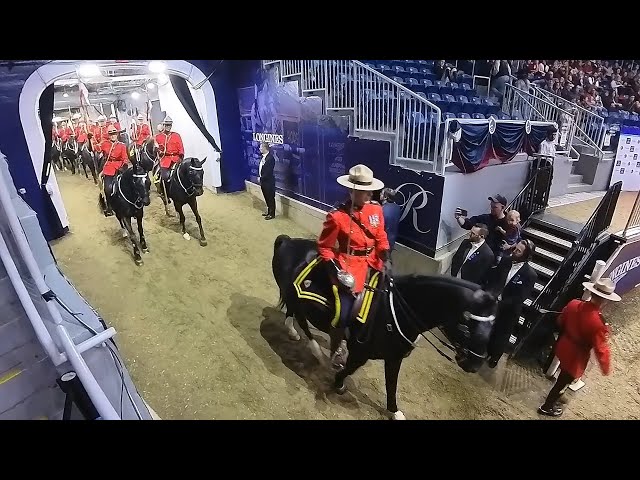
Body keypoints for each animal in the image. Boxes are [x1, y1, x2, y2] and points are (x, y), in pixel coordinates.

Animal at [272, 235, 498, 420]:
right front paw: (338, 383)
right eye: (466, 327)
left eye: (491, 327)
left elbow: (391, 384)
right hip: (295, 297)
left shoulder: (394, 357)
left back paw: (294, 332)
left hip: (294, 298)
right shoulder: (360, 353)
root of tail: (288, 241)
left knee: (293, 312)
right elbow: (349, 370)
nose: (475, 364)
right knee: (302, 322)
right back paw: (316, 351)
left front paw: (394, 411)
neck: (393, 309)